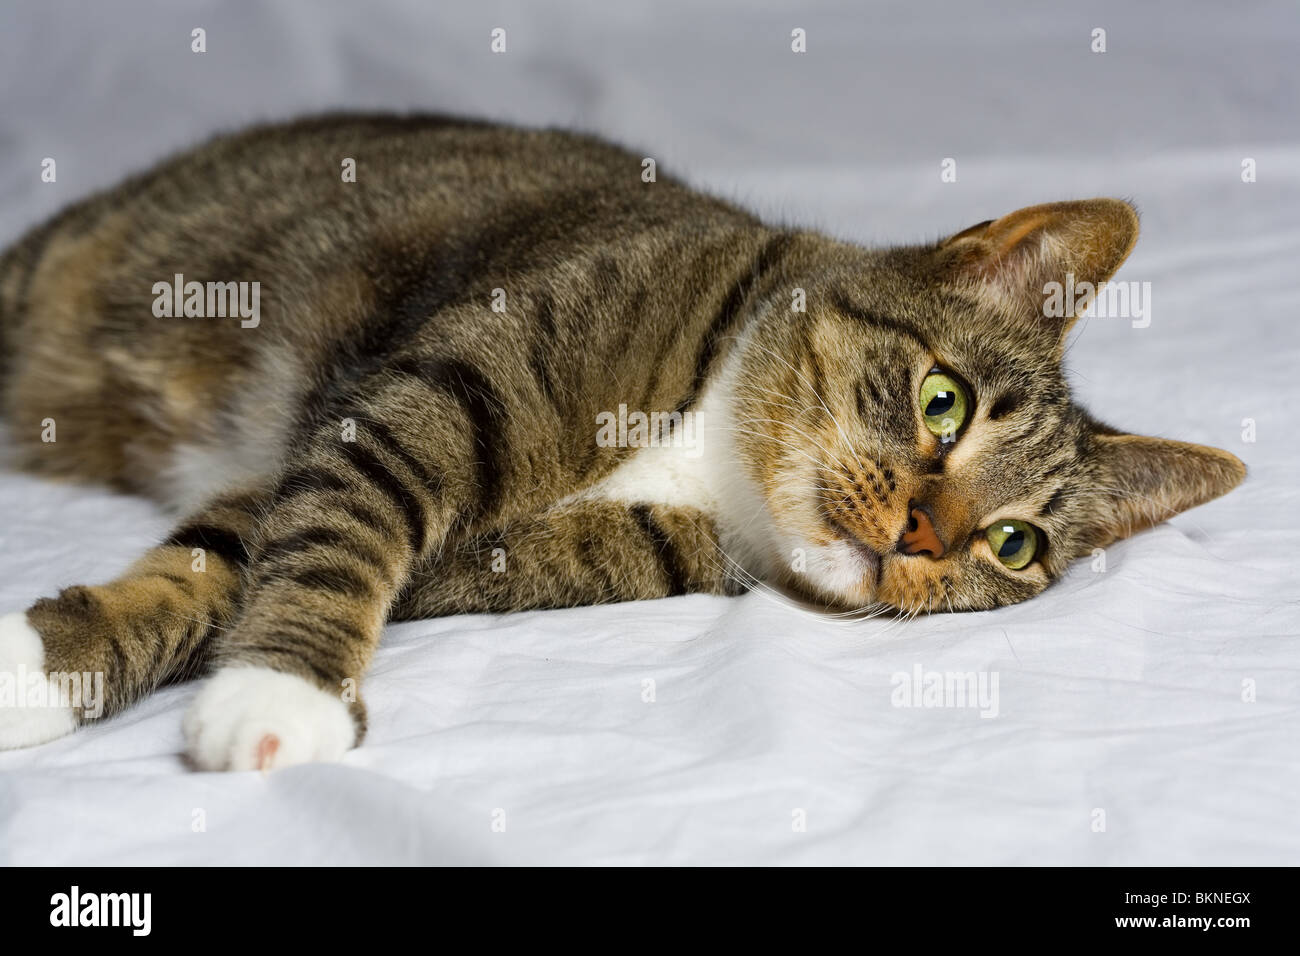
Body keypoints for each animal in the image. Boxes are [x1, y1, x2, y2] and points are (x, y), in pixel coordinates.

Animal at [0, 113, 1237, 770]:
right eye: (944, 401)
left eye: (1013, 545)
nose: (922, 536)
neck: (719, 446)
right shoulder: (432, 390)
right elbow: (339, 522)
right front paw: (277, 686)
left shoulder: (535, 550)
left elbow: (232, 550)